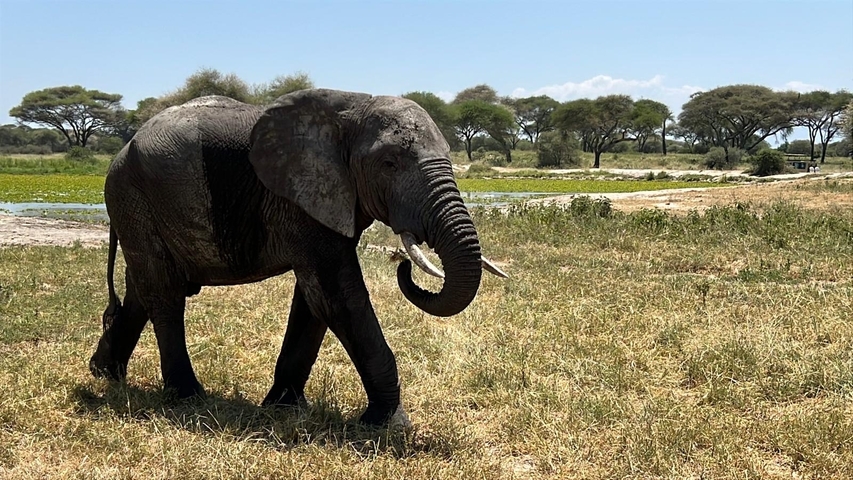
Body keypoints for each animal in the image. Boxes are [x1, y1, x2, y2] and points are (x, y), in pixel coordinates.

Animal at [88, 88, 507, 426]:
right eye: (389, 164)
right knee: (165, 295)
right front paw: (389, 425)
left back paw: (104, 374)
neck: (353, 106)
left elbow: (314, 301)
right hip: (134, 194)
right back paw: (188, 397)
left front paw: (283, 408)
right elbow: (339, 297)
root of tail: (122, 150)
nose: (403, 263)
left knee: (141, 292)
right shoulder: (299, 199)